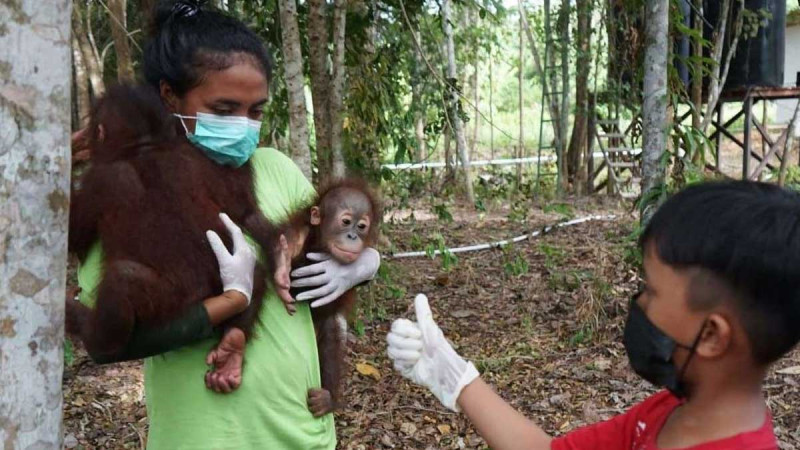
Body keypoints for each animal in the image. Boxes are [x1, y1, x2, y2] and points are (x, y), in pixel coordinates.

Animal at [66, 84, 287, 382]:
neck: (144, 148)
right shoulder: (196, 156)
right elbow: (243, 210)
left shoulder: (98, 180)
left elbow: (73, 235)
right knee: (257, 273)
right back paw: (233, 342)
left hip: (169, 301)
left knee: (123, 278)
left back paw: (86, 328)